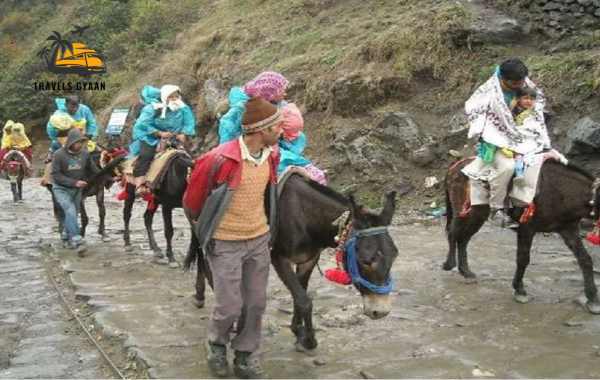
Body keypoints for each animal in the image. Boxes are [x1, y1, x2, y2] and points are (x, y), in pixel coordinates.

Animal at [183, 174, 398, 352]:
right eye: (366, 260)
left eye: (395, 255)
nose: (381, 311)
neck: (305, 215)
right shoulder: (279, 258)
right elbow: (304, 300)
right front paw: (308, 340)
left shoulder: (308, 260)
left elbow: (300, 294)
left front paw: (298, 331)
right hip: (205, 229)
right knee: (205, 261)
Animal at [442, 159, 596, 314]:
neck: (560, 191)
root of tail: (454, 167)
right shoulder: (526, 228)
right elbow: (523, 259)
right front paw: (520, 290)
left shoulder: (568, 230)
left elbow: (585, 259)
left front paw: (592, 299)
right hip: (465, 211)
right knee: (453, 233)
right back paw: (449, 264)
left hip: (478, 216)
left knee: (463, 239)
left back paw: (466, 272)